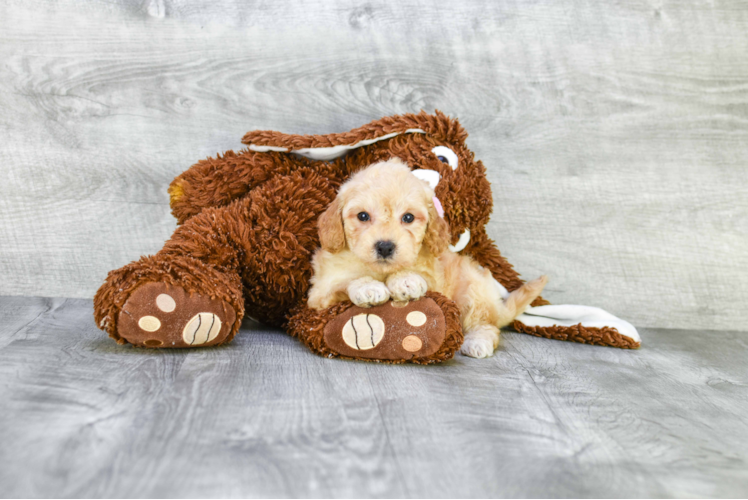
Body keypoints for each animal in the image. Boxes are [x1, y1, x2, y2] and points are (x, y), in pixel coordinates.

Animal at [306, 158, 548, 358]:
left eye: (408, 217)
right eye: (363, 216)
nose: (385, 247)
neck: (381, 271)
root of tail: (496, 305)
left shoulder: (435, 277)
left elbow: (419, 276)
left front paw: (405, 280)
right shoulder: (319, 293)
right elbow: (345, 281)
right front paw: (369, 287)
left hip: (472, 291)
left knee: (486, 324)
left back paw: (478, 342)